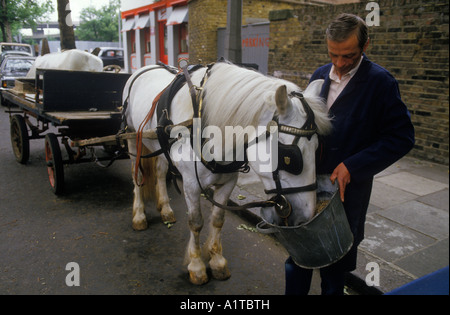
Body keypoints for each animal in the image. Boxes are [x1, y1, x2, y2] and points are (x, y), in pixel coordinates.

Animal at [122, 62, 330, 286]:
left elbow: (218, 219)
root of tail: (143, 68)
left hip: (157, 146)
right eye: (289, 157)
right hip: (133, 138)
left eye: (318, 148)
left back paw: (166, 208)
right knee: (137, 177)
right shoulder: (191, 184)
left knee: (160, 173)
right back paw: (139, 215)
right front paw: (197, 266)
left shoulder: (228, 182)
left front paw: (217, 262)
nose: (304, 219)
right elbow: (196, 222)